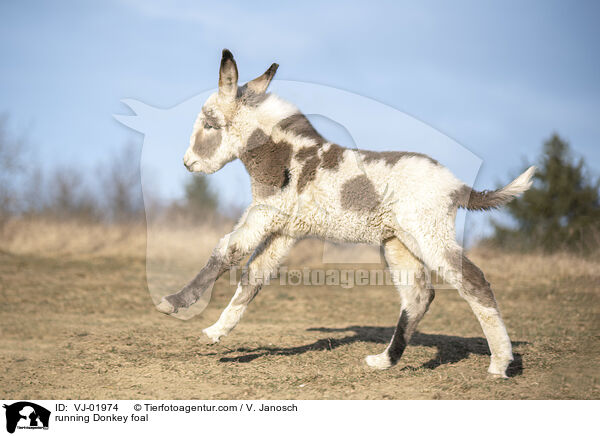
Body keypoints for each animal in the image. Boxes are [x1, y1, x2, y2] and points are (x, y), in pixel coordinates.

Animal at [156, 49, 536, 378]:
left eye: (209, 125)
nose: (187, 163)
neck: (287, 156)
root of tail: (458, 186)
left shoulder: (264, 213)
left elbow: (226, 252)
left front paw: (174, 303)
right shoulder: (284, 229)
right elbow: (254, 276)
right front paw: (217, 331)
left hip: (429, 235)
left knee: (474, 282)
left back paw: (500, 364)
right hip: (399, 242)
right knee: (418, 296)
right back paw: (385, 361)